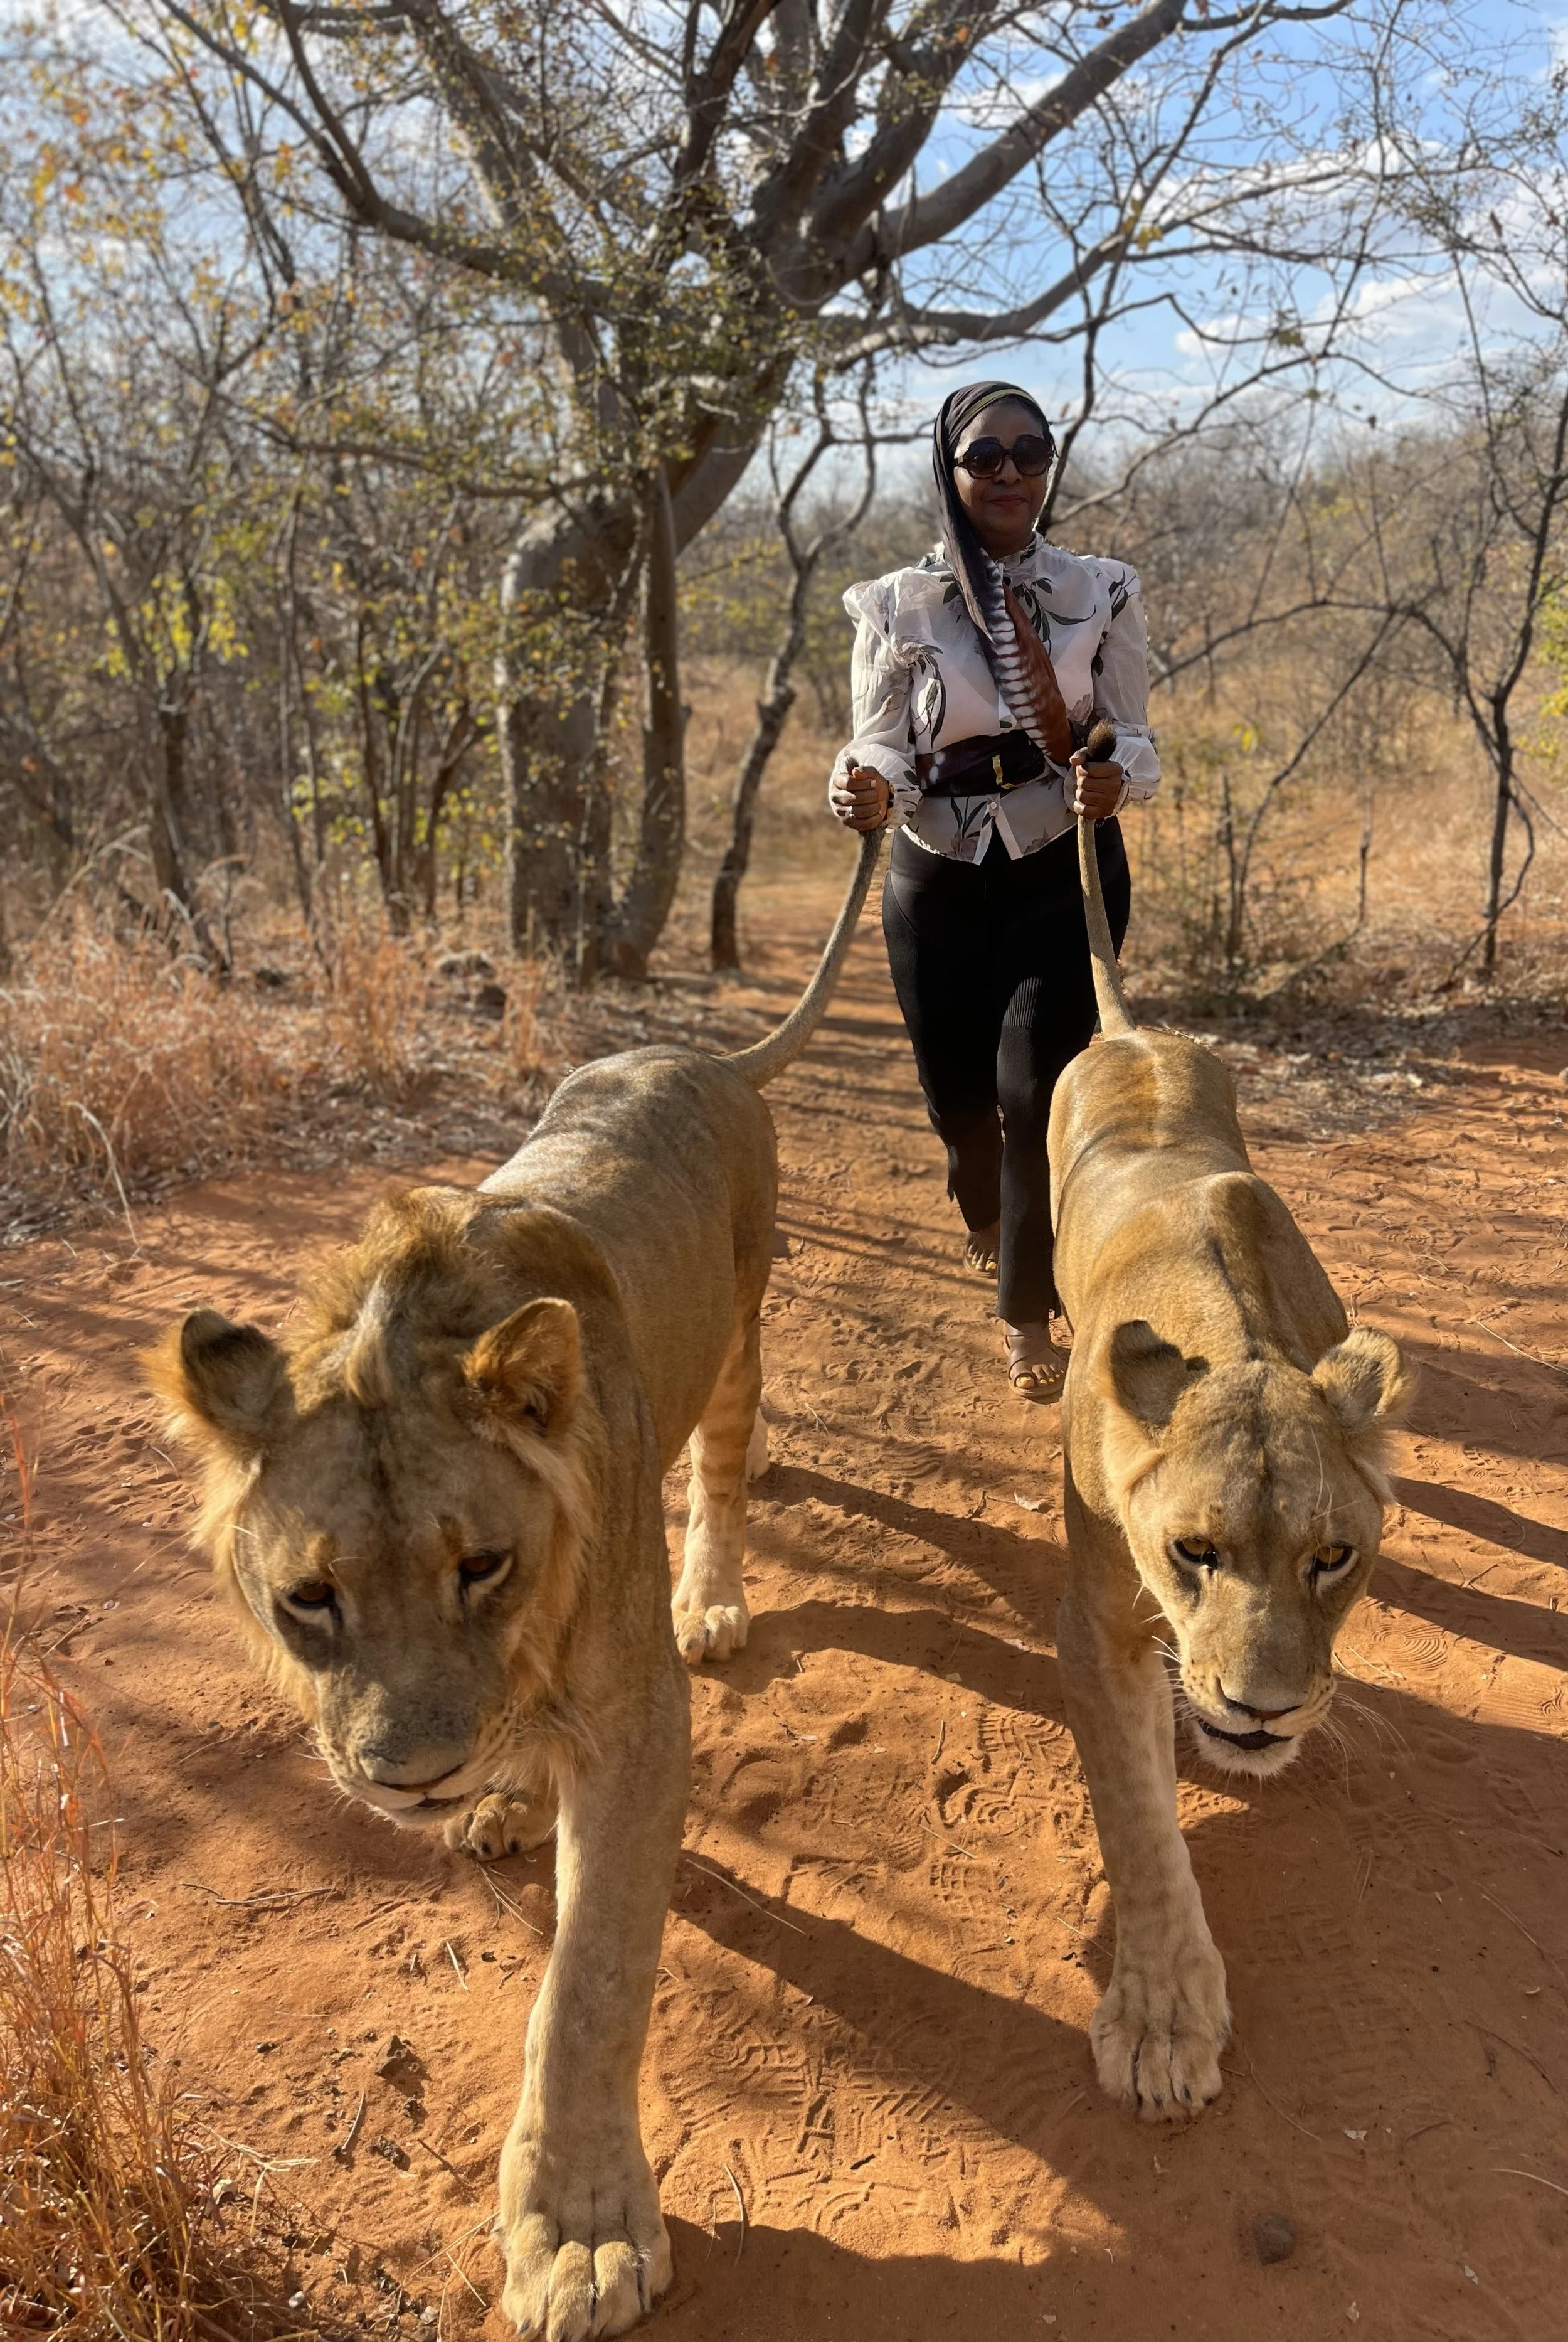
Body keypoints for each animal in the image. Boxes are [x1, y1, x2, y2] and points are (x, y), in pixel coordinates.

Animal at [146, 834, 879, 2342]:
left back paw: (709, 1604)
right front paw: (500, 1796)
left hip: (737, 1336)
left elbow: (588, 1986)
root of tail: (694, 1052)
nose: (412, 1774)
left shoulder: (640, 1722)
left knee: (727, 1462)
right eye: (310, 1599)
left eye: (479, 1565)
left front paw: (580, 2233)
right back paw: (504, 1800)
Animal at [1046, 732, 1412, 2124]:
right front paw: (1160, 2019)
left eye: (1333, 1558)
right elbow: (1137, 1822)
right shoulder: (1100, 1616)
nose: (1260, 1715)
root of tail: (1134, 1028)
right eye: (1191, 1553)